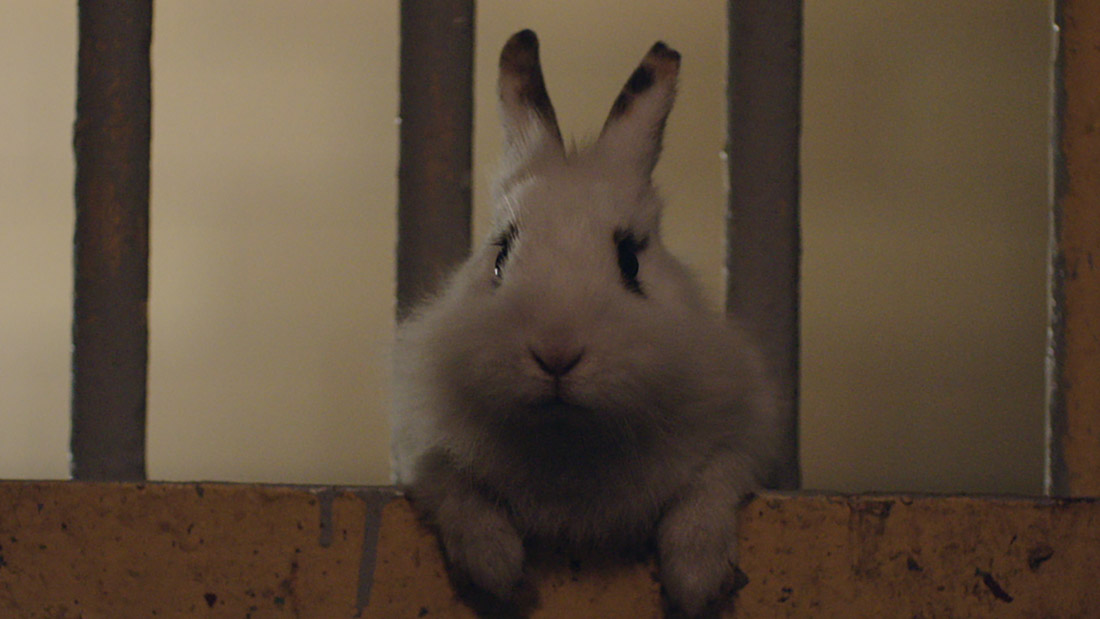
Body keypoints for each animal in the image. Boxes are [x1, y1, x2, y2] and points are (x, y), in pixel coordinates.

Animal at [392, 29, 783, 618]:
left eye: (630, 261)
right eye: (500, 257)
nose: (556, 353)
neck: (570, 440)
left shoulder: (739, 438)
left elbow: (708, 491)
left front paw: (696, 581)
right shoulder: (426, 452)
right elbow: (457, 491)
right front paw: (497, 567)